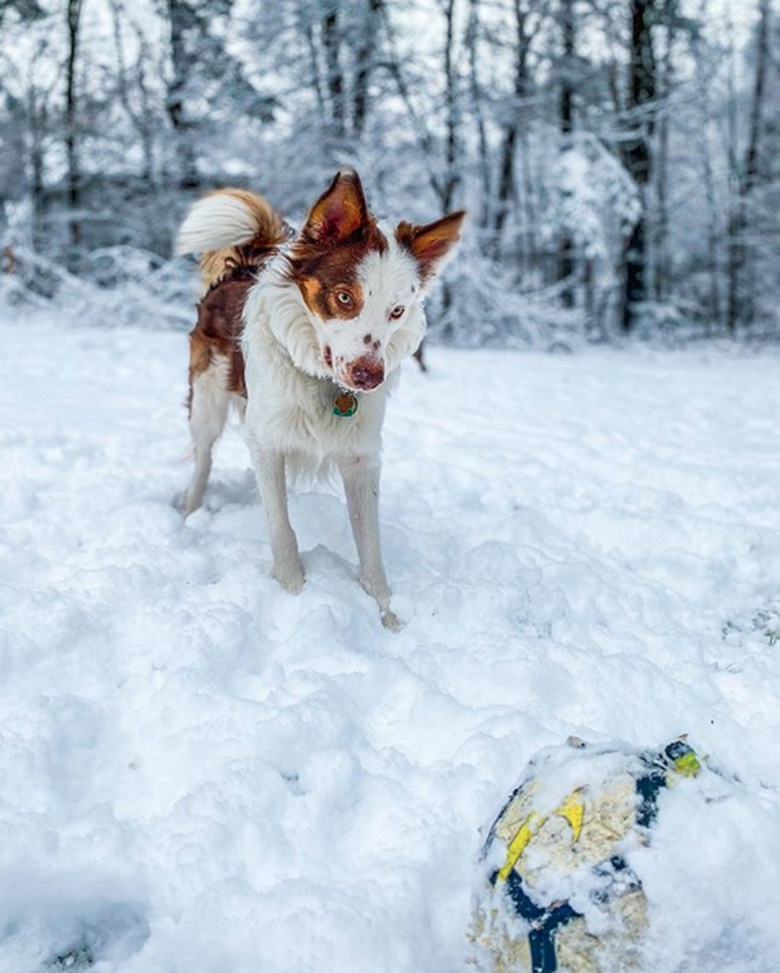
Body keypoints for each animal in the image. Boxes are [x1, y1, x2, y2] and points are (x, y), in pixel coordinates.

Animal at [177, 170, 464, 628]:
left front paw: (387, 617)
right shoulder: (266, 442)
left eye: (397, 311)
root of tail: (241, 268)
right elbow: (281, 527)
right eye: (345, 297)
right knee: (203, 458)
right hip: (206, 401)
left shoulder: (362, 457)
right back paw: (189, 512)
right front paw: (293, 593)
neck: (324, 382)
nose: (369, 377)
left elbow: (371, 548)